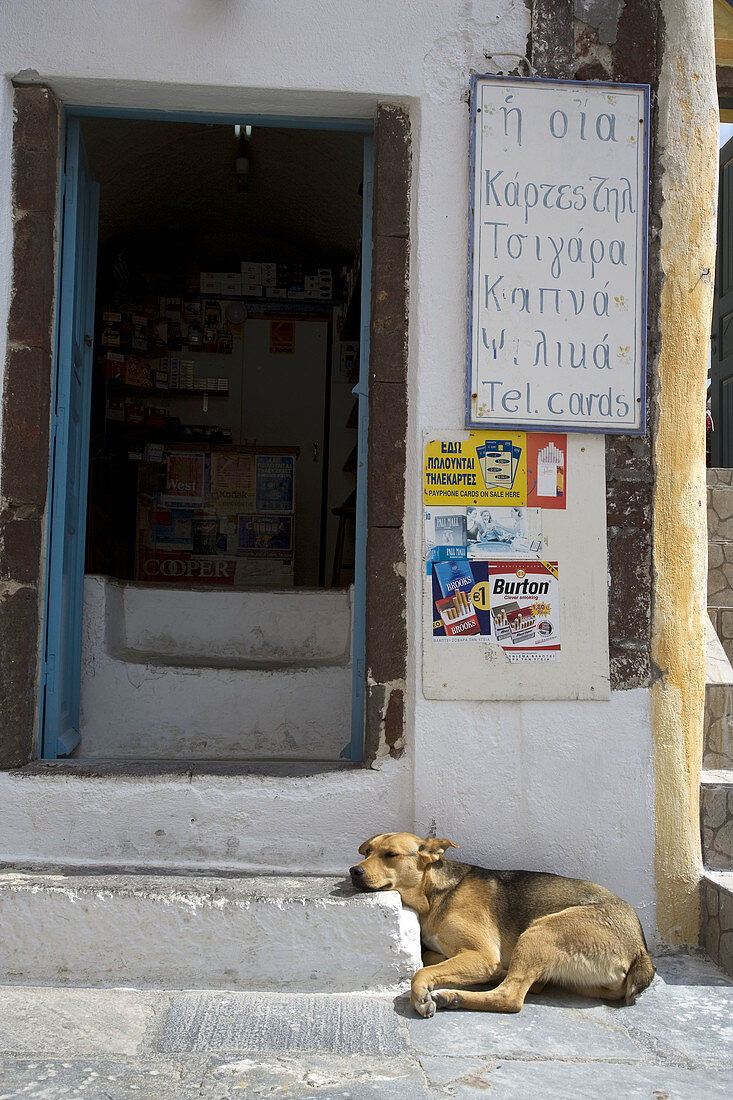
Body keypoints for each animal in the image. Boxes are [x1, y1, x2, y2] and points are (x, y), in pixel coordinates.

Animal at [347, 831, 651, 1012]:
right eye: (367, 852)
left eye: (391, 855)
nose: (353, 871)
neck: (434, 893)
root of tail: (641, 950)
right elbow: (430, 959)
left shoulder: (482, 955)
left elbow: (420, 973)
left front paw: (421, 994)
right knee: (528, 985)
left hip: (539, 932)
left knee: (511, 997)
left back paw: (453, 997)